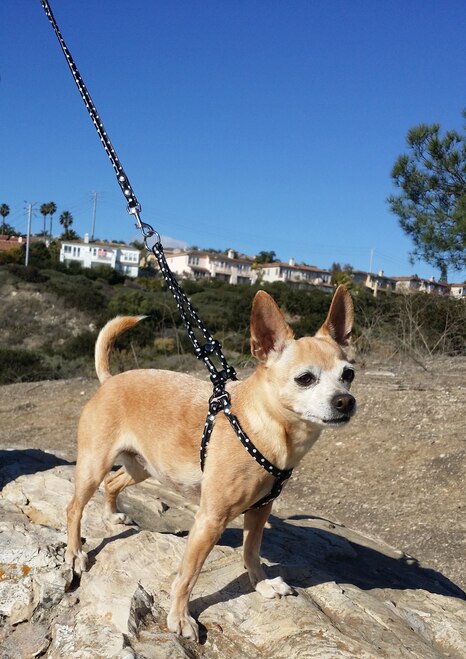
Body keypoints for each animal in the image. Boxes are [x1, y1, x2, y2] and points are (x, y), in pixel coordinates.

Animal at [65, 286, 354, 640]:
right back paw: (75, 554)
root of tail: (110, 380)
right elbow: (188, 575)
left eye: (348, 375)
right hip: (94, 465)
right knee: (74, 508)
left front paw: (261, 585)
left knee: (112, 483)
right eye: (305, 379)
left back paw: (111, 517)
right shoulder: (210, 520)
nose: (345, 401)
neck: (265, 428)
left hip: (140, 467)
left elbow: (251, 551)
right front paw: (179, 617)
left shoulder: (260, 511)